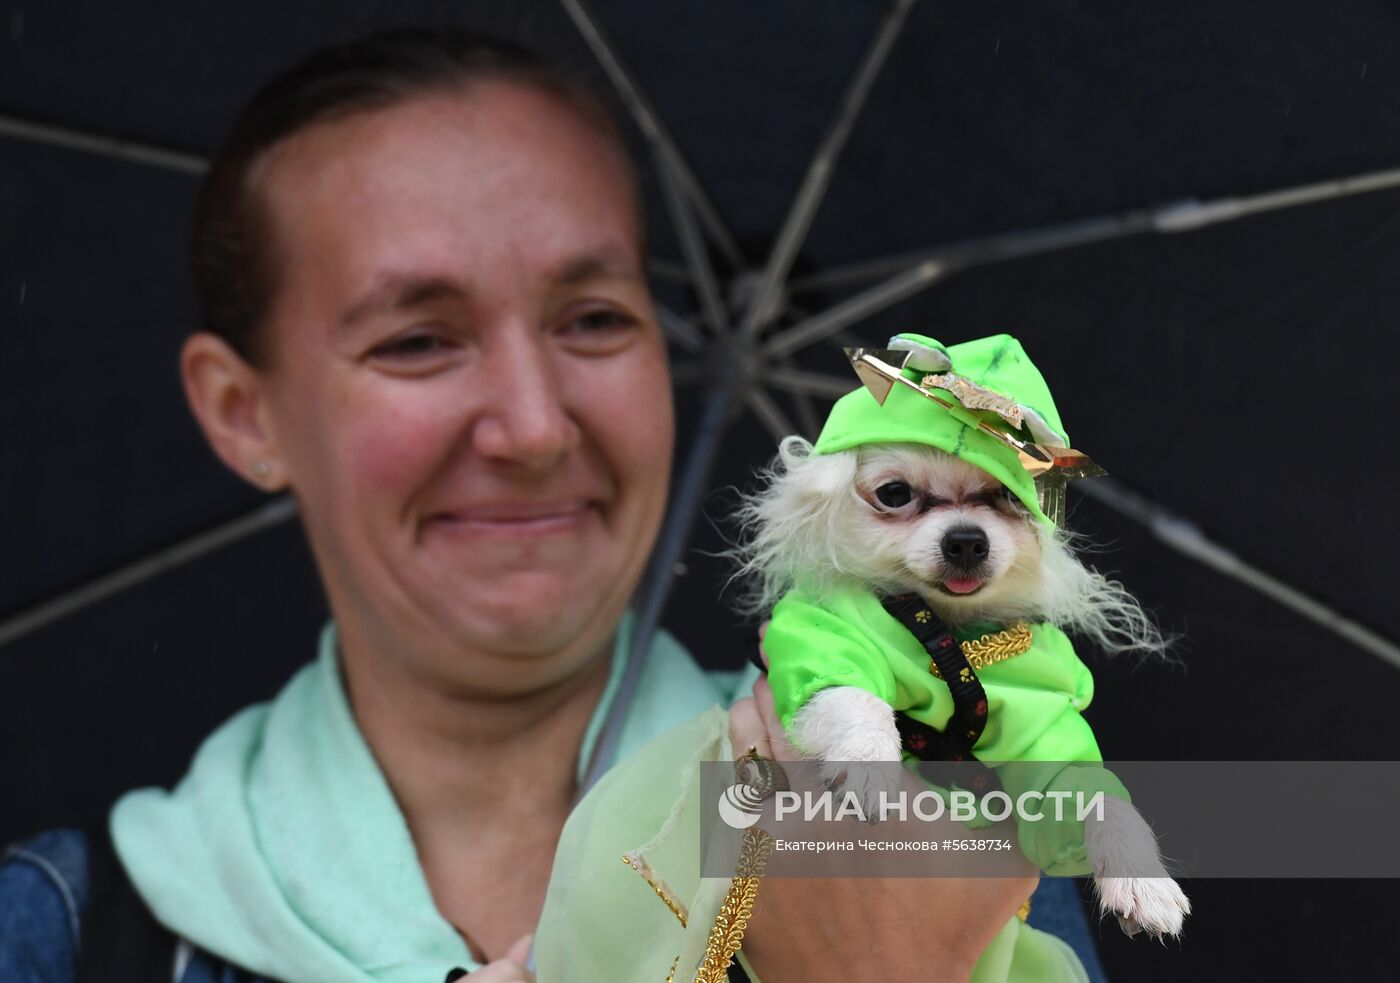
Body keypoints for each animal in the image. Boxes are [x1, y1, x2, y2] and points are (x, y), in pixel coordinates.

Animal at [739, 436, 1187, 940]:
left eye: (1014, 495)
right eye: (894, 493)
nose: (967, 540)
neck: (947, 632)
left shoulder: (1046, 737)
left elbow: (1100, 797)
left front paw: (1143, 880)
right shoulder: (822, 642)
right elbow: (856, 698)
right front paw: (870, 762)